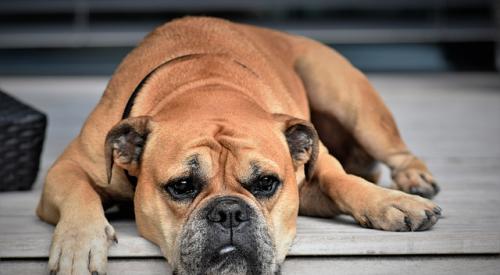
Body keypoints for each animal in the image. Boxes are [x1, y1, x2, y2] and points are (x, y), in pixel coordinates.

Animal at [36, 17, 442, 275]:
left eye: (266, 183)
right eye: (182, 186)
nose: (229, 212)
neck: (206, 86)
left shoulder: (314, 172)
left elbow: (342, 181)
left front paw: (391, 203)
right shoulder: (67, 169)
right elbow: (78, 193)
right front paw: (78, 245)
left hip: (348, 98)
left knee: (393, 151)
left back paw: (414, 180)